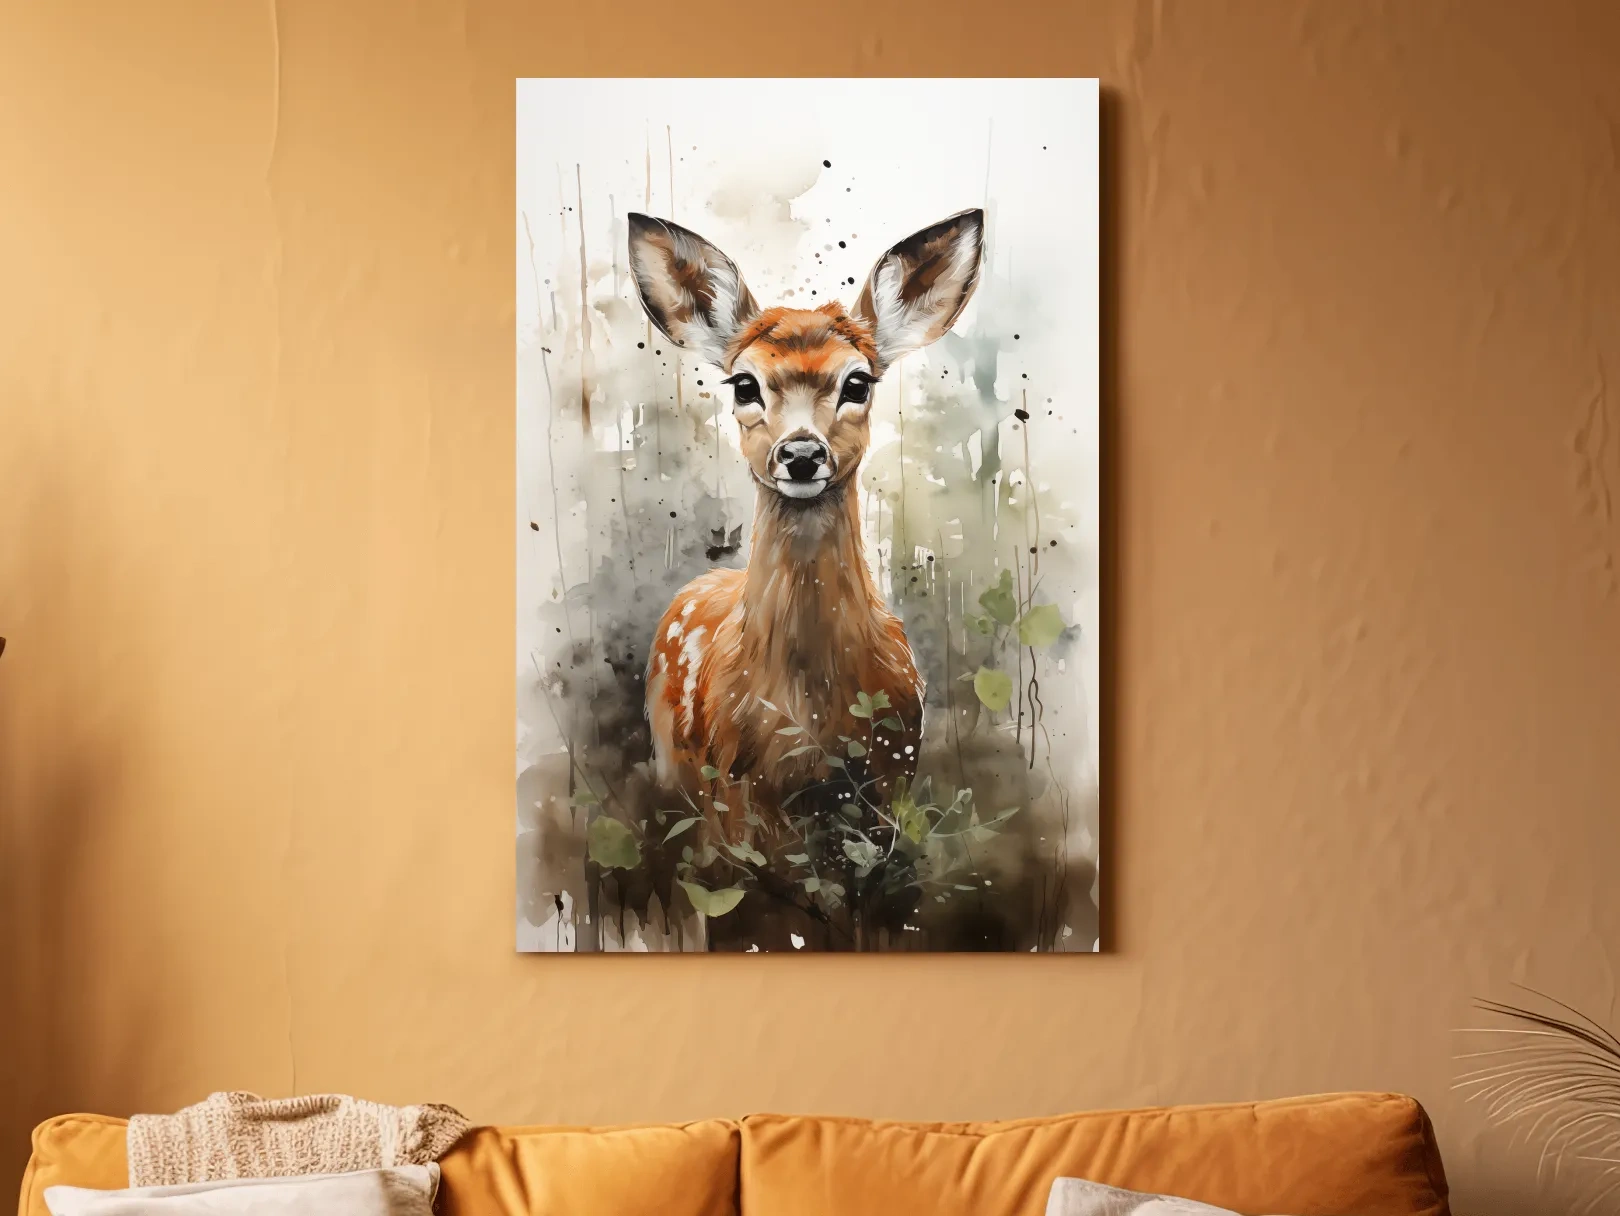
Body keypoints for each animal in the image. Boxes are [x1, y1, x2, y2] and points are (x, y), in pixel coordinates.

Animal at [629, 207, 984, 839]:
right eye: (744, 383)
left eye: (858, 382)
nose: (800, 454)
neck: (809, 717)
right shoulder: (732, 792)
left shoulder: (892, 777)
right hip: (674, 762)